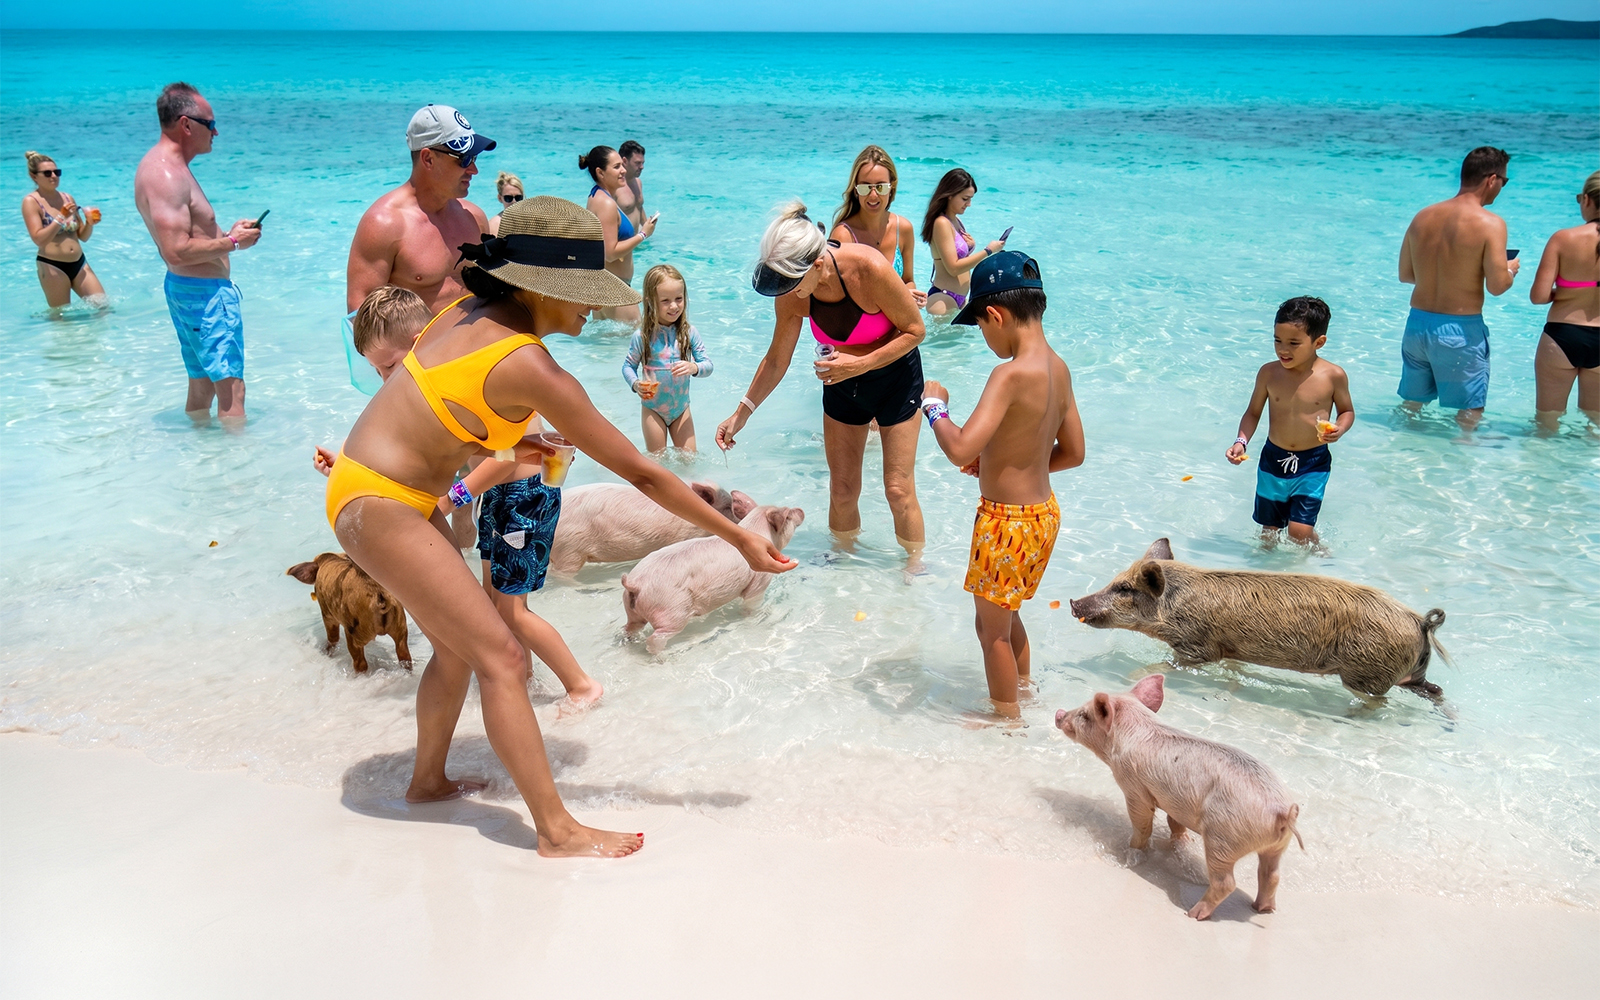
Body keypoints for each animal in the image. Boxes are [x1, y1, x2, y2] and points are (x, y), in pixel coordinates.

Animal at [621, 505, 805, 654]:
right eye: (788, 515)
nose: (801, 509)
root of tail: (635, 583)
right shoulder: (759, 581)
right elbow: (751, 604)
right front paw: (755, 616)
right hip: (670, 612)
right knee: (655, 638)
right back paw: (663, 657)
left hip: (632, 610)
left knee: (629, 628)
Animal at [1055, 674, 1303, 920]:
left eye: (1084, 715)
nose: (1059, 713)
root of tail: (1282, 812)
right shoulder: (1175, 802)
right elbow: (1174, 822)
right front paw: (1180, 842)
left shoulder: (1133, 786)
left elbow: (1142, 821)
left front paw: (1131, 850)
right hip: (1277, 846)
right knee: (1271, 874)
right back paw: (1263, 909)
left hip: (1223, 839)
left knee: (1227, 882)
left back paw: (1193, 913)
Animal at [1069, 538, 1451, 702]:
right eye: (1116, 581)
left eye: (1123, 588)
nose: (1073, 602)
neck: (1176, 606)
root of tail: (1421, 622)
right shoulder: (1229, 649)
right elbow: (1233, 669)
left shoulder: (1197, 648)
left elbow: (1166, 666)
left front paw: (1130, 678)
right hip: (1408, 673)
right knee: (1433, 689)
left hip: (1366, 672)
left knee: (1377, 701)